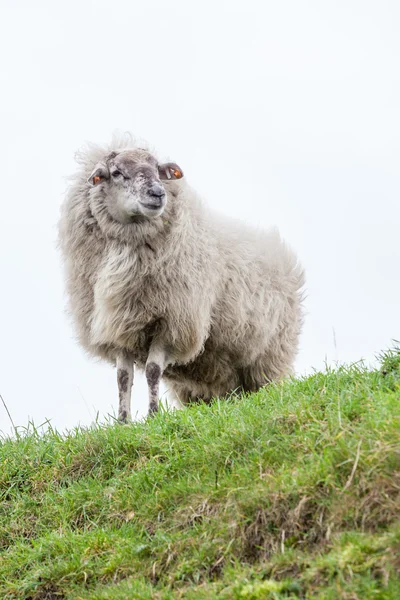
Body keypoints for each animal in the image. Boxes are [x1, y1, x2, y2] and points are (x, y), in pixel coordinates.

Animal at [57, 134, 304, 420]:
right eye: (117, 173)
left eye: (158, 171)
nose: (158, 193)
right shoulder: (119, 324)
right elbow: (122, 377)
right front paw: (123, 421)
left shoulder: (171, 321)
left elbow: (153, 370)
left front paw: (153, 417)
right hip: (212, 377)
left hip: (270, 357)